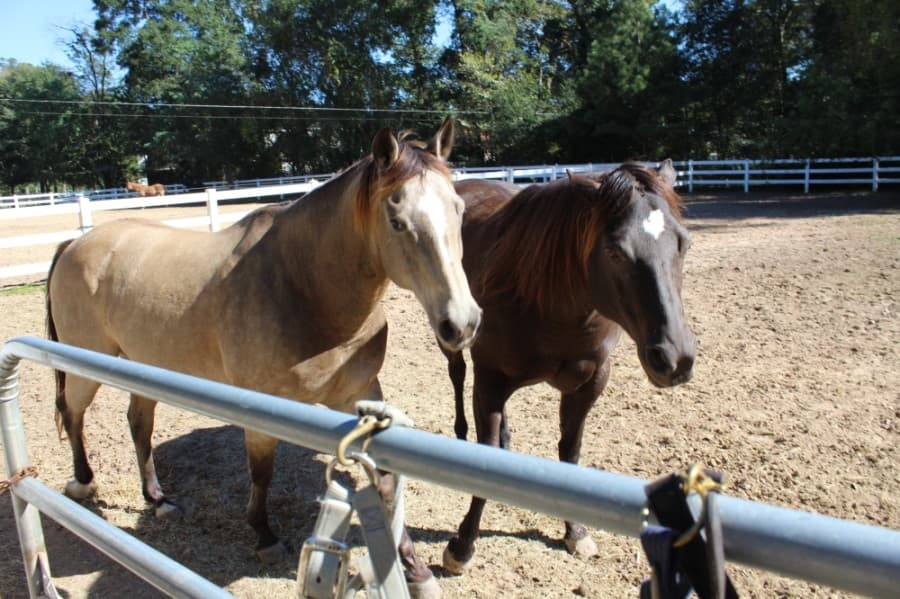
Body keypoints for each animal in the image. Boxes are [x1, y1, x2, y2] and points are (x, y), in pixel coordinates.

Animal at [47, 117, 481, 598]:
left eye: (459, 210)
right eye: (397, 220)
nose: (462, 323)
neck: (302, 285)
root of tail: (75, 243)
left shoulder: (361, 395)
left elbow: (384, 484)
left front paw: (414, 568)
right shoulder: (263, 407)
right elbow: (262, 472)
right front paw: (264, 536)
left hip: (142, 367)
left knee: (138, 424)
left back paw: (158, 499)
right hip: (85, 365)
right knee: (73, 414)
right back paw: (84, 482)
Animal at [440, 161, 696, 574]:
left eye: (683, 243)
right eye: (614, 251)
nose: (676, 358)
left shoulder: (590, 382)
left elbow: (569, 453)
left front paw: (575, 532)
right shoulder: (490, 379)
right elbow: (485, 451)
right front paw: (462, 545)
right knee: (457, 375)